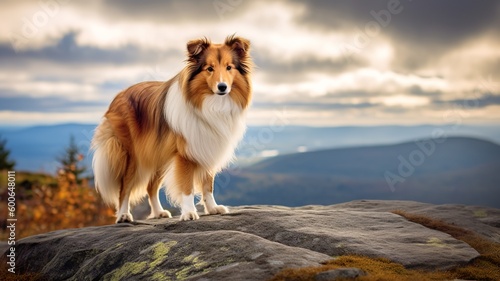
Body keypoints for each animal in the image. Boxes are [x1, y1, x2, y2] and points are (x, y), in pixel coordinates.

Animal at [91, 35, 252, 222]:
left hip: (160, 154)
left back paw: (158, 212)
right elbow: (187, 187)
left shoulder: (208, 146)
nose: (222, 87)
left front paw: (212, 208)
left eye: (229, 67)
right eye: (209, 69)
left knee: (150, 187)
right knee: (125, 188)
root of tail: (119, 95)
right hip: (132, 156)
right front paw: (189, 212)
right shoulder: (185, 154)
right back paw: (124, 215)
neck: (211, 105)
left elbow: (207, 184)